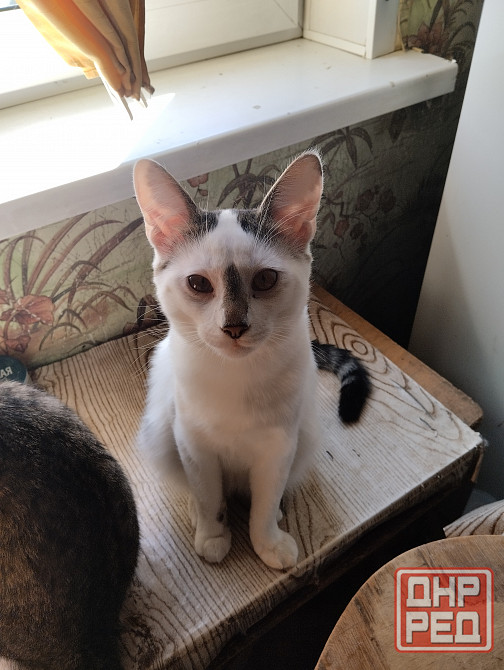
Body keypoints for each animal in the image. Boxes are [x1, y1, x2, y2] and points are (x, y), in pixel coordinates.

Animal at [134, 151, 369, 570]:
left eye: (265, 280)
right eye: (198, 284)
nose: (233, 327)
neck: (236, 376)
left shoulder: (279, 447)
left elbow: (263, 505)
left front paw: (268, 543)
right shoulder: (194, 445)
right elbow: (211, 499)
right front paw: (214, 538)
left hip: (304, 436)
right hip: (162, 434)